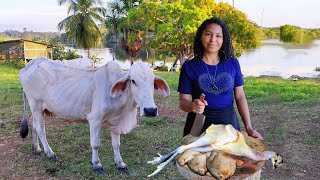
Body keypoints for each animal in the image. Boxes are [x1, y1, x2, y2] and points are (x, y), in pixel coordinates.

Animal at [18, 57, 170, 174]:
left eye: (153, 81)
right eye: (133, 81)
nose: (150, 110)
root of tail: (29, 65)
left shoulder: (116, 122)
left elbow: (116, 144)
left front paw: (120, 163)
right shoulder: (95, 119)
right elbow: (95, 144)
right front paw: (97, 165)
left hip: (39, 109)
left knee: (33, 124)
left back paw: (36, 148)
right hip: (36, 105)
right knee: (41, 129)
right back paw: (49, 153)